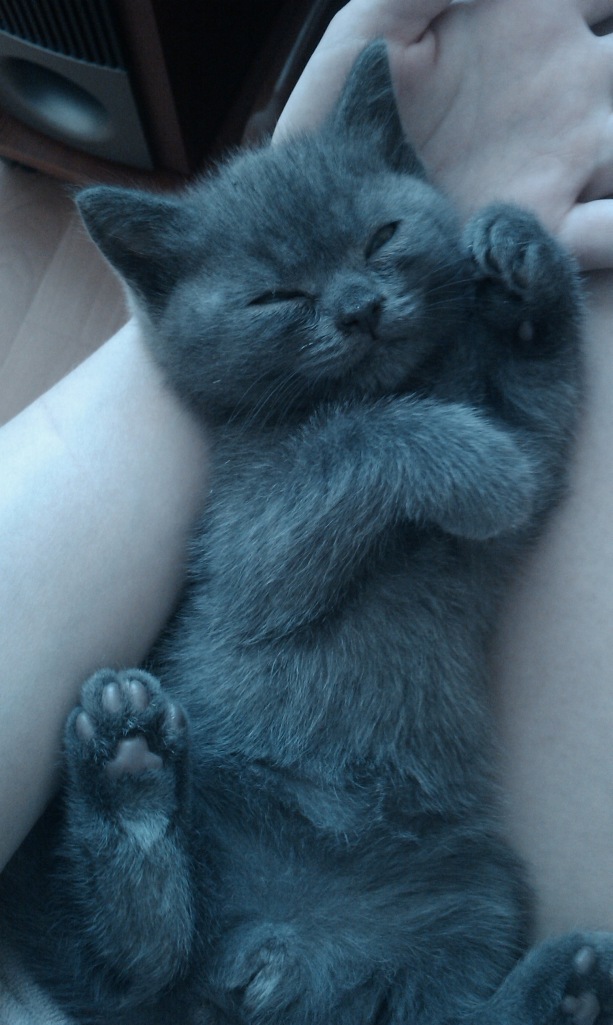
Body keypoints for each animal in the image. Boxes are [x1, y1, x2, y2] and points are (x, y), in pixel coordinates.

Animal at [1, 39, 611, 1025]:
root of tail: (264, 960)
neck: (393, 382)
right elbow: (362, 445)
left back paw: (567, 984)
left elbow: (538, 409)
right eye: (273, 296)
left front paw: (521, 257)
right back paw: (127, 772)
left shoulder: (528, 419)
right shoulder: (249, 539)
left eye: (381, 237)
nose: (358, 307)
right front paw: (478, 469)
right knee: (127, 966)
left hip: (470, 889)